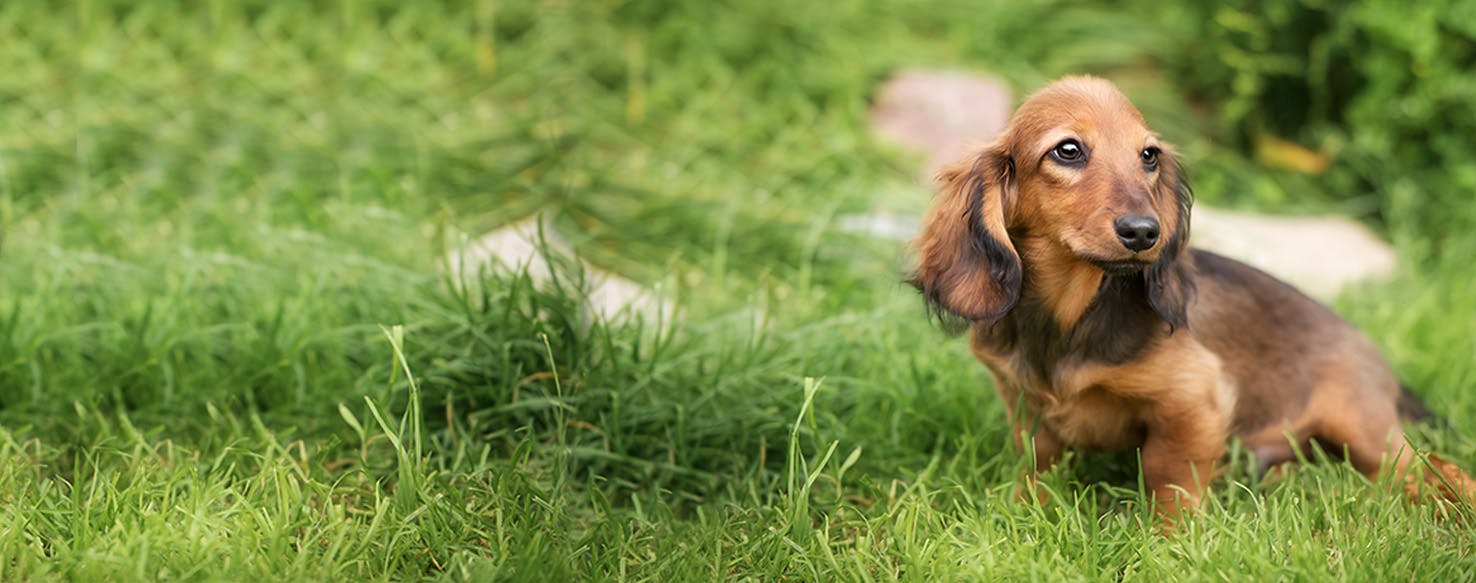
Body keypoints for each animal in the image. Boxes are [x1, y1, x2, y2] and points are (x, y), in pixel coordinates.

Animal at [909, 75, 1464, 519]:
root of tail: (1376, 359)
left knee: (1435, 469)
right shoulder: (1022, 402)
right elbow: (1038, 463)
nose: (1144, 232)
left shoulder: (1194, 398)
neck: (1071, 315)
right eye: (1068, 150)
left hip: (1363, 427)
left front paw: (1169, 541)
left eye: (1148, 156)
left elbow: (1168, 474)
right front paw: (1025, 516)